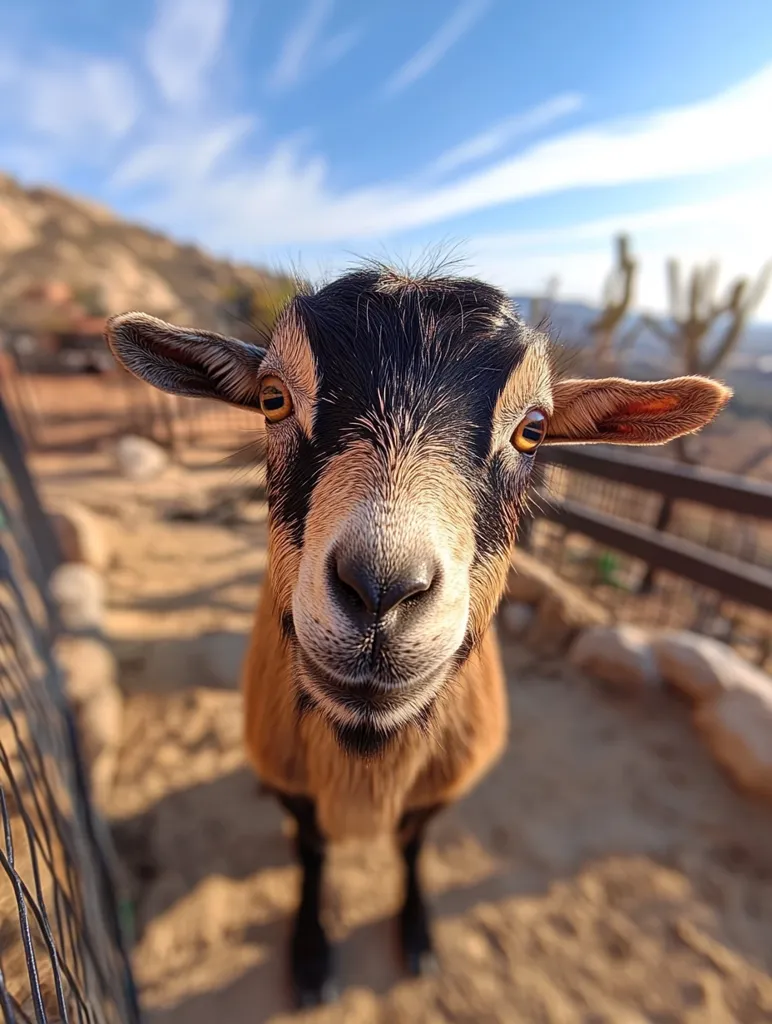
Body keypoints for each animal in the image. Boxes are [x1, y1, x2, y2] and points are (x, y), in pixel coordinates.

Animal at [106, 265, 731, 1007]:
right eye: (272, 398)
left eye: (533, 431)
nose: (382, 590)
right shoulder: (292, 777)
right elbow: (311, 849)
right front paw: (312, 958)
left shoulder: (442, 785)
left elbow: (411, 846)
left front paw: (418, 936)